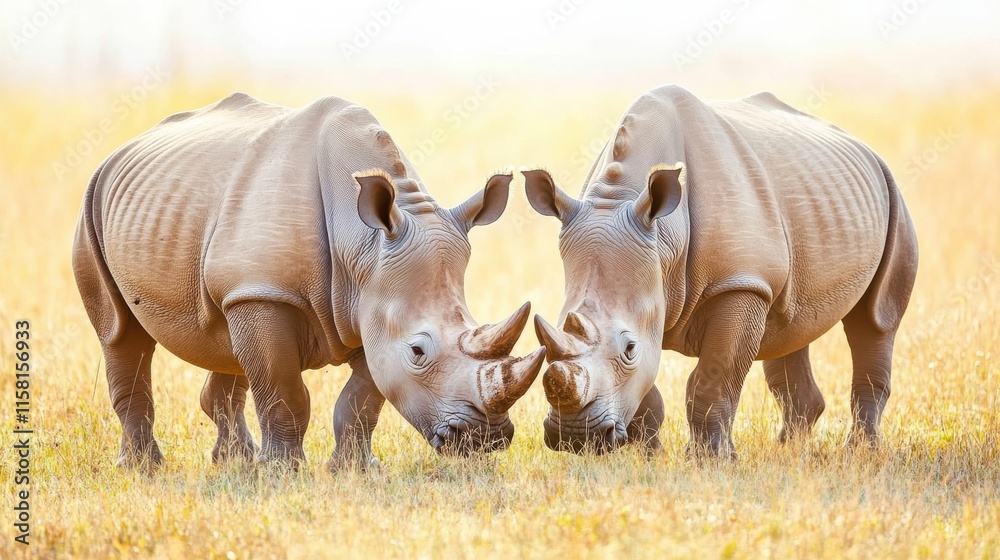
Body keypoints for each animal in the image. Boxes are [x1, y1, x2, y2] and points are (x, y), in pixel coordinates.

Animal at [73, 92, 545, 470]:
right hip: (92, 204)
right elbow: (285, 391)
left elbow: (361, 400)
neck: (363, 244)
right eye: (417, 351)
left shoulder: (368, 304)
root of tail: (121, 150)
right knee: (120, 332)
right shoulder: (269, 293)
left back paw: (235, 463)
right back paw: (143, 469)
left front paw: (355, 471)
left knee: (223, 334)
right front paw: (283, 473)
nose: (486, 439)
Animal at [524, 85, 918, 457]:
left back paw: (861, 451)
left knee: (874, 320)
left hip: (893, 193)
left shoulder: (740, 282)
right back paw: (788, 452)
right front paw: (650, 457)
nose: (576, 437)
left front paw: (711, 460)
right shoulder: (653, 293)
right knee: (790, 329)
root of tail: (864, 146)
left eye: (629, 349)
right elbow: (648, 394)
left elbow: (712, 379)